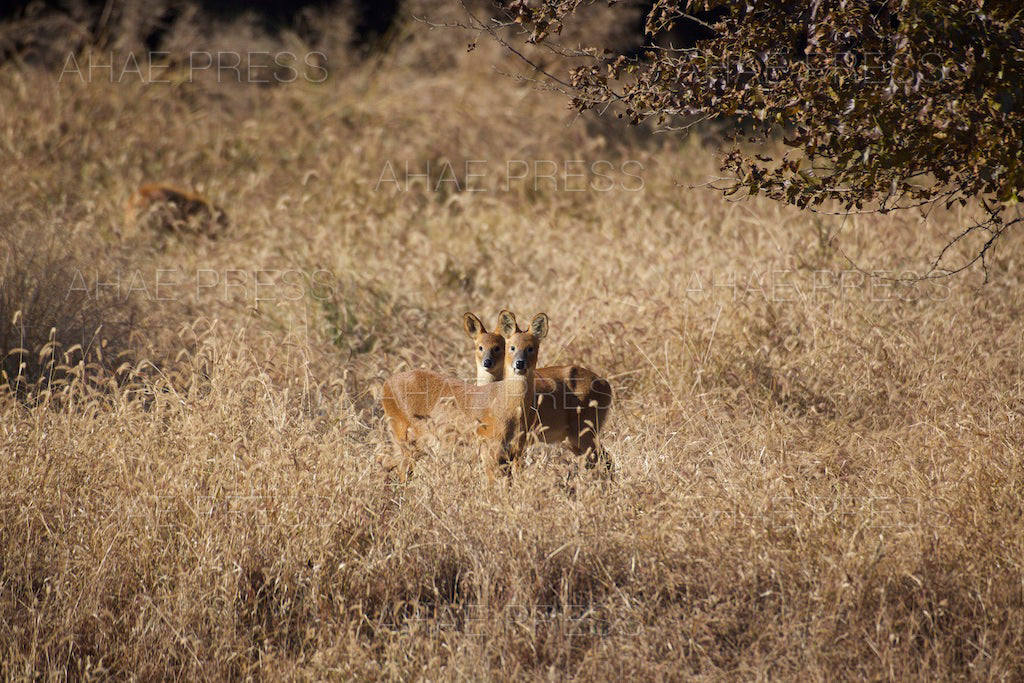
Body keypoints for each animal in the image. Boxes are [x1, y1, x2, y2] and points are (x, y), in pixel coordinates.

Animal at [379, 311, 548, 482]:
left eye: (531, 348)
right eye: (511, 347)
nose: (519, 363)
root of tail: (386, 383)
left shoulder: (517, 449)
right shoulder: (489, 447)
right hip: (402, 434)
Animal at [463, 312, 613, 472]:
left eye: (498, 347)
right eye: (480, 347)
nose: (487, 362)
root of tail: (606, 384)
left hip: (584, 430)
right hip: (571, 437)